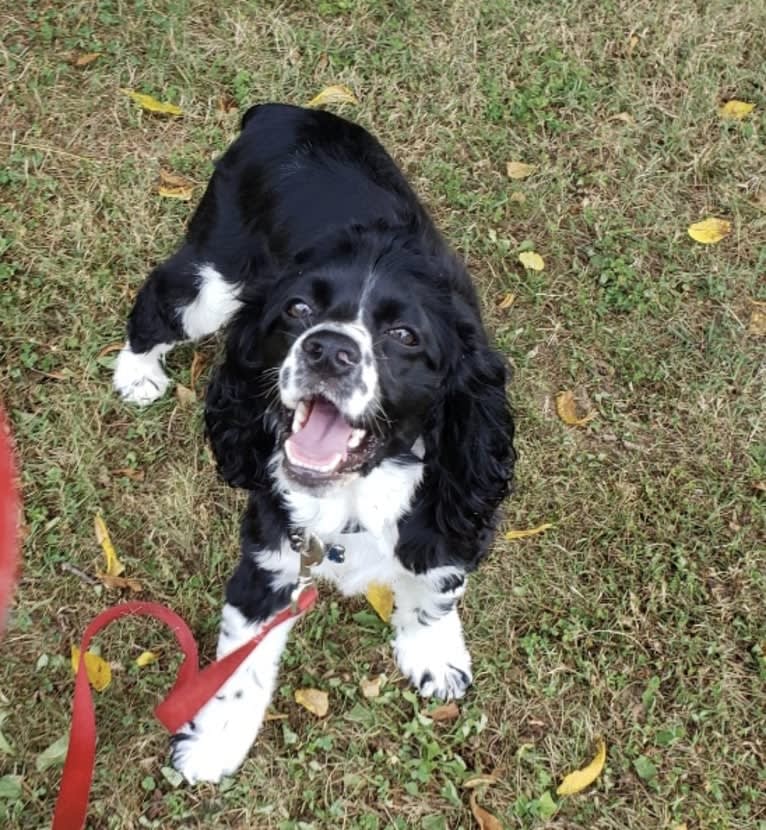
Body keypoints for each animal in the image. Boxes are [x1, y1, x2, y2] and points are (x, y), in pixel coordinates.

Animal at [112, 104, 516, 788]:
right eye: (297, 310)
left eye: (405, 335)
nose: (328, 349)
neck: (357, 490)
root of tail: (280, 113)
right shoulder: (274, 550)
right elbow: (241, 668)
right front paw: (212, 747)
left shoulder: (451, 491)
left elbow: (435, 587)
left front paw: (434, 655)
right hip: (216, 278)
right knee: (160, 298)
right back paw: (136, 372)